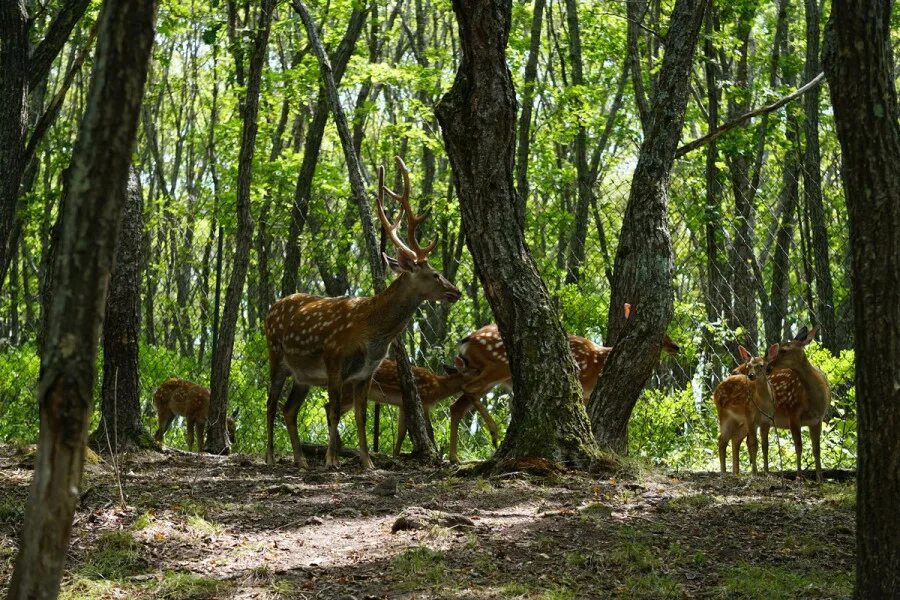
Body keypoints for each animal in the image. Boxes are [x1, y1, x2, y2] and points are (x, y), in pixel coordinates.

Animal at [264, 157, 460, 472]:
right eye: (434, 274)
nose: (456, 292)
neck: (373, 332)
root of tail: (272, 308)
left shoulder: (365, 373)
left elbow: (361, 416)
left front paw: (368, 462)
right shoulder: (334, 360)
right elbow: (333, 411)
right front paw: (332, 460)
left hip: (303, 375)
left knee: (289, 409)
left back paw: (301, 460)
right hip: (276, 355)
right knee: (271, 403)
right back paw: (271, 456)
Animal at [446, 304, 680, 464]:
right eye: (662, 334)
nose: (676, 346)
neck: (599, 361)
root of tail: (466, 341)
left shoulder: (586, 394)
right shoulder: (582, 386)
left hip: (486, 374)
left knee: (456, 405)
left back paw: (454, 457)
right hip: (497, 366)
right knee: (467, 390)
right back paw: (494, 433)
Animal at [712, 344, 776, 476]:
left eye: (761, 365)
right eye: (749, 366)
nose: (751, 375)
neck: (762, 403)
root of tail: (715, 390)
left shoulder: (767, 420)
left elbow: (765, 445)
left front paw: (767, 471)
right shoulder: (750, 416)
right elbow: (753, 443)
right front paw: (755, 472)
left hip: (741, 421)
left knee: (735, 439)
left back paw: (736, 472)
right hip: (724, 415)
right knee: (722, 440)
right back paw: (724, 472)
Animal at [732, 326, 828, 480]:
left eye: (783, 350)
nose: (768, 367)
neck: (814, 401)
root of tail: (734, 370)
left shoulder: (817, 420)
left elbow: (816, 448)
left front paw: (820, 478)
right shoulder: (793, 413)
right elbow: (798, 446)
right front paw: (799, 477)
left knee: (739, 439)